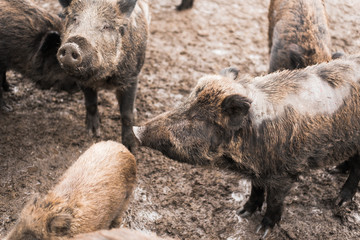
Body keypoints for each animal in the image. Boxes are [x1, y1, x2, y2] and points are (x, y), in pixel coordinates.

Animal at [57, 0, 150, 151]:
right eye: (74, 19)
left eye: (106, 26)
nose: (71, 46)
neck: (103, 78)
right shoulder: (83, 80)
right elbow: (91, 103)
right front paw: (93, 134)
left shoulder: (131, 77)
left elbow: (126, 114)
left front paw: (131, 148)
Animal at [134, 55, 360, 238]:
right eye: (185, 103)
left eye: (197, 117)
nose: (137, 130)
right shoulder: (258, 171)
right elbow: (256, 190)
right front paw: (241, 213)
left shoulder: (284, 173)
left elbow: (275, 201)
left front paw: (262, 231)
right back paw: (335, 170)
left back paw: (339, 201)